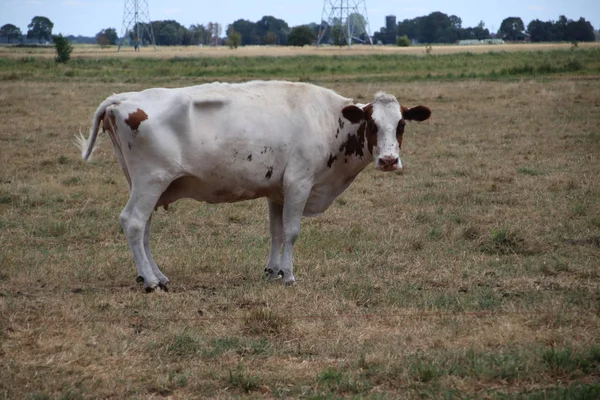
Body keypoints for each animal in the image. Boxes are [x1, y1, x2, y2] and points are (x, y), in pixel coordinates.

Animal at [77, 81, 428, 292]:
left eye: (401, 125)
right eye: (372, 124)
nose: (388, 160)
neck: (328, 120)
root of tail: (123, 98)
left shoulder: (278, 191)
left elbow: (276, 232)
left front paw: (273, 271)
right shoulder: (299, 183)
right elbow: (292, 232)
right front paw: (289, 275)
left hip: (146, 185)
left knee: (144, 228)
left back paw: (156, 275)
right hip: (151, 181)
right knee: (133, 222)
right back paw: (150, 281)